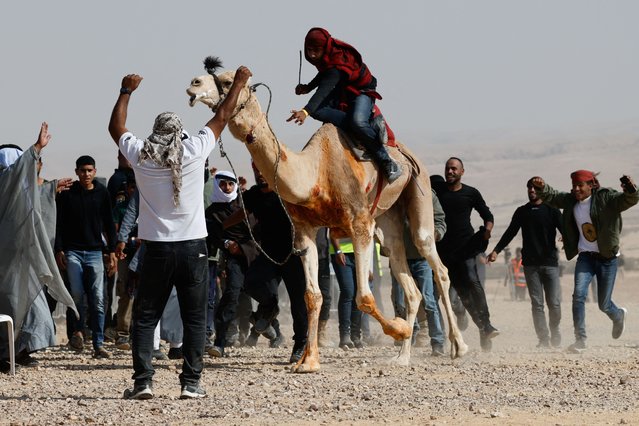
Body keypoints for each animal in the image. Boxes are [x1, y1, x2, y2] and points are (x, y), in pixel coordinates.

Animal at [188, 60, 468, 372]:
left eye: (227, 81)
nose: (194, 84)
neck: (314, 174)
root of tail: (405, 153)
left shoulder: (359, 224)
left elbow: (364, 297)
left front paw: (399, 329)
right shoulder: (305, 231)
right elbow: (312, 296)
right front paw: (308, 361)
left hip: (418, 191)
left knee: (435, 262)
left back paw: (458, 347)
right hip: (387, 219)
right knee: (405, 275)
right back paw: (402, 356)